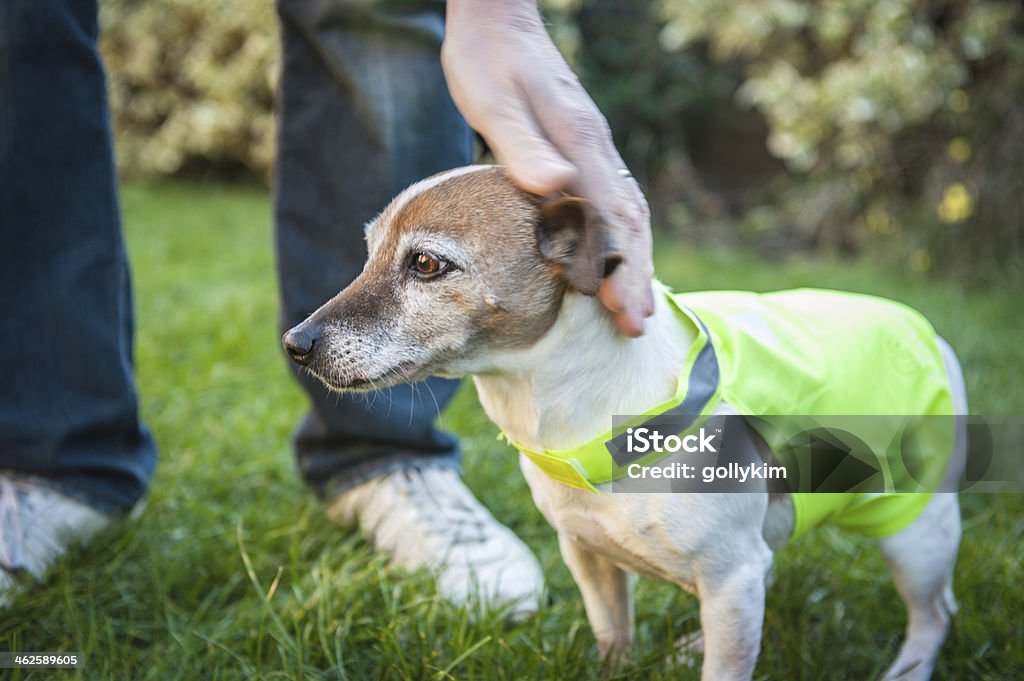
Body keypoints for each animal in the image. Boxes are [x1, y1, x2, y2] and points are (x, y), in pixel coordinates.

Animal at [284, 165, 962, 679]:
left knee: (935, 615)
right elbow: (613, 630)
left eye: (425, 264)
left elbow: (728, 665)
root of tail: (926, 331)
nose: (295, 343)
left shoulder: (733, 579)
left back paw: (908, 668)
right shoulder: (589, 556)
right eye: (368, 254)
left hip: (914, 533)